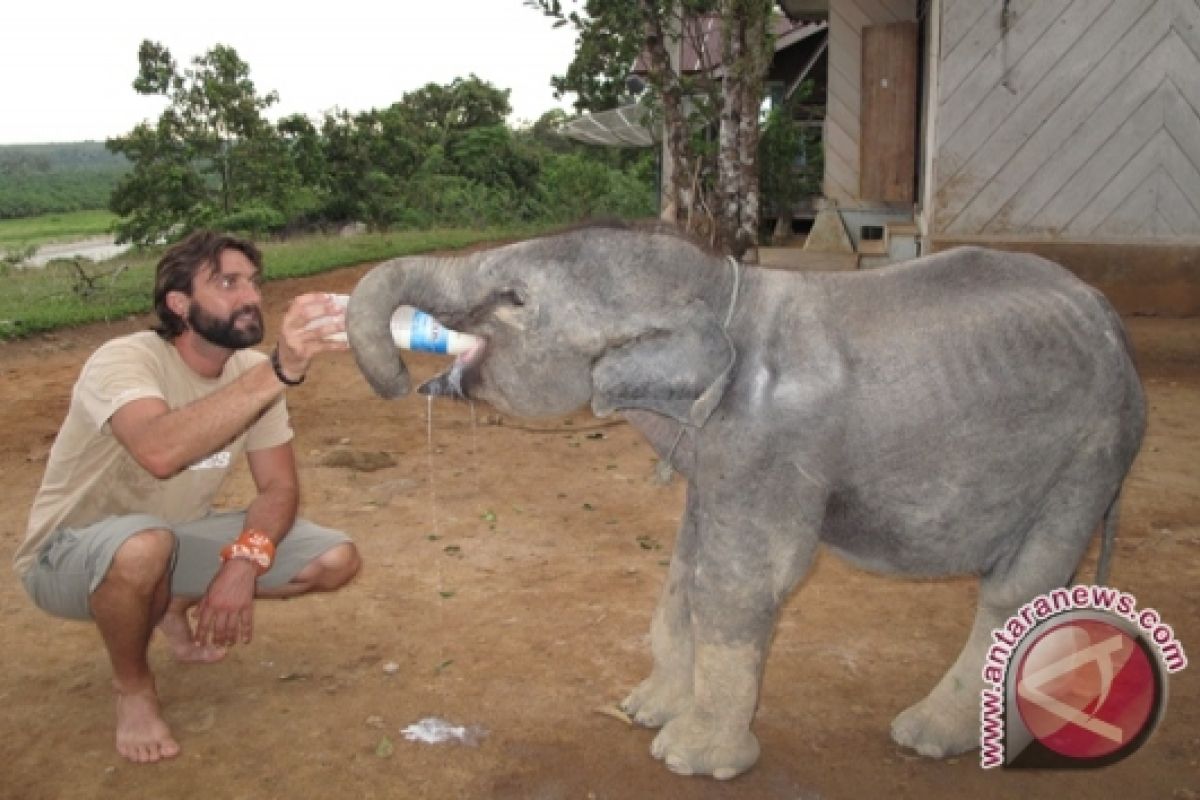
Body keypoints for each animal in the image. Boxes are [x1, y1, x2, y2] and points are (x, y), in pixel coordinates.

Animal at [345, 221, 1142, 777]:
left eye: (513, 300)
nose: (402, 378)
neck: (727, 291)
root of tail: (1112, 319)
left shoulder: (771, 446)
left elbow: (742, 581)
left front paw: (688, 759)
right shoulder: (719, 454)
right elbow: (685, 567)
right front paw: (642, 711)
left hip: (1092, 449)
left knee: (1016, 587)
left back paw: (931, 738)